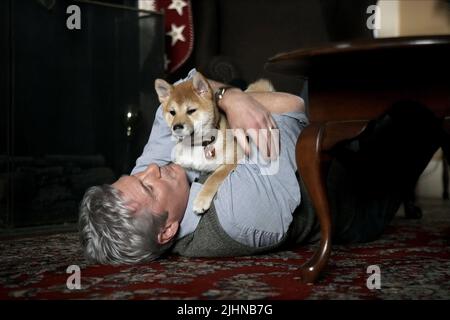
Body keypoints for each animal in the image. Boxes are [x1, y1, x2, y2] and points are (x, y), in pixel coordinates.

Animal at [155, 71, 274, 214]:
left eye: (191, 111)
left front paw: (201, 199)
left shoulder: (235, 157)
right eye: (172, 112)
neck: (201, 144)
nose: (176, 126)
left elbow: (214, 177)